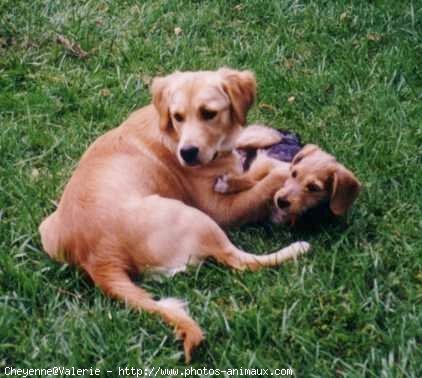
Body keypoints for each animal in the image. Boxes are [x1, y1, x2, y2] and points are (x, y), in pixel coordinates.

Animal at [38, 69, 310, 362]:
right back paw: (298, 248)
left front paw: (263, 140)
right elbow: (264, 181)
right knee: (239, 260)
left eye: (208, 113)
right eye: (178, 116)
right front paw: (289, 169)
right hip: (196, 218)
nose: (187, 153)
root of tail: (97, 259)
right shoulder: (221, 209)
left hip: (47, 229)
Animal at [216, 124, 362, 224]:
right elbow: (251, 178)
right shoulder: (267, 162)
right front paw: (228, 183)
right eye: (293, 174)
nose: (281, 201)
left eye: (313, 188)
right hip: (262, 137)